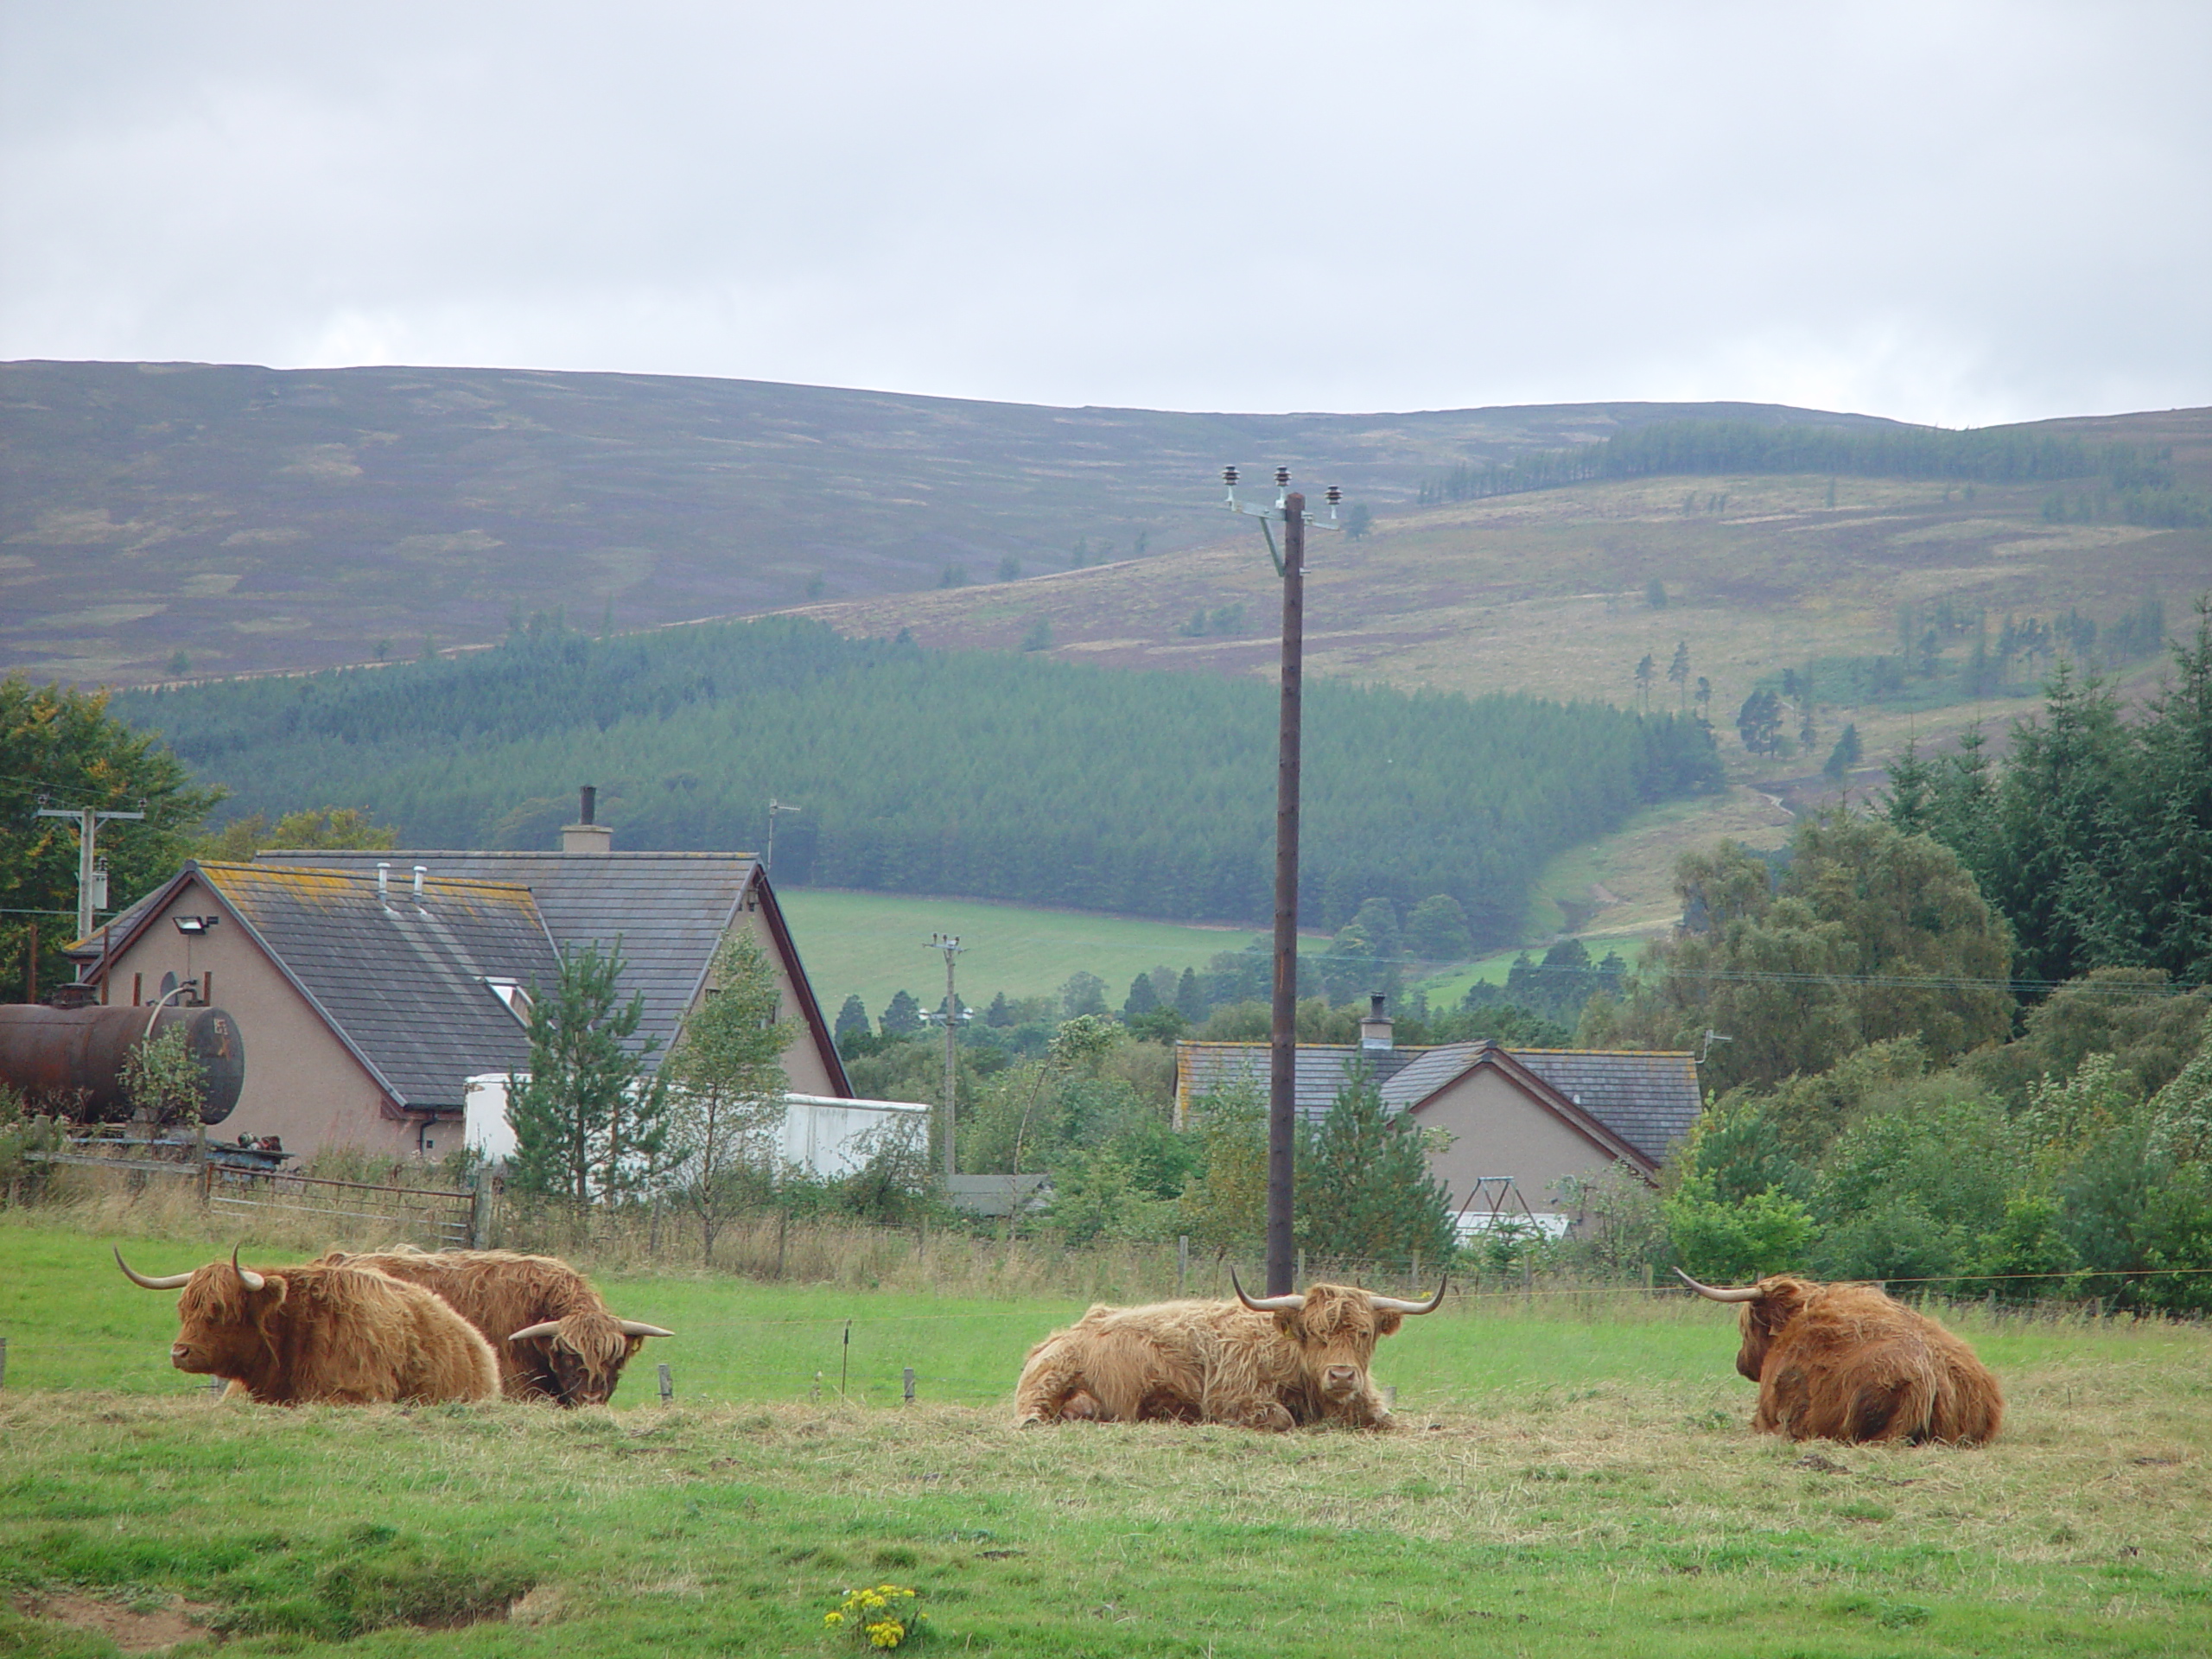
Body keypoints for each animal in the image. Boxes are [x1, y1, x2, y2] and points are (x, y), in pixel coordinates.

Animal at [1013, 1282, 1442, 1433]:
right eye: (1314, 1333)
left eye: (1364, 1333)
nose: (1341, 1376)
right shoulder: (1233, 1398)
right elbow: (1282, 1419)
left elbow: (1384, 1418)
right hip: (1050, 1377)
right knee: (1031, 1409)